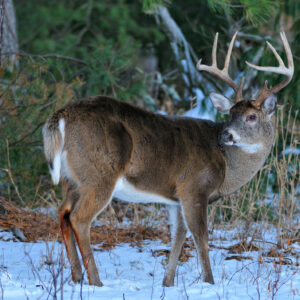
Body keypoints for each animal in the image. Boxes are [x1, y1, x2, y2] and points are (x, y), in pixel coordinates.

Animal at [42, 31, 292, 288]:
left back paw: (77, 277)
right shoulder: (194, 187)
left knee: (63, 212)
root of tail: (61, 117)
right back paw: (96, 281)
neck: (226, 164)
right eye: (231, 114)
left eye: (251, 116)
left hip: (72, 178)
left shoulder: (175, 198)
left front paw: (168, 282)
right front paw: (209, 282)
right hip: (100, 174)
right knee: (79, 217)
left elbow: (178, 237)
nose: (227, 134)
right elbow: (201, 237)